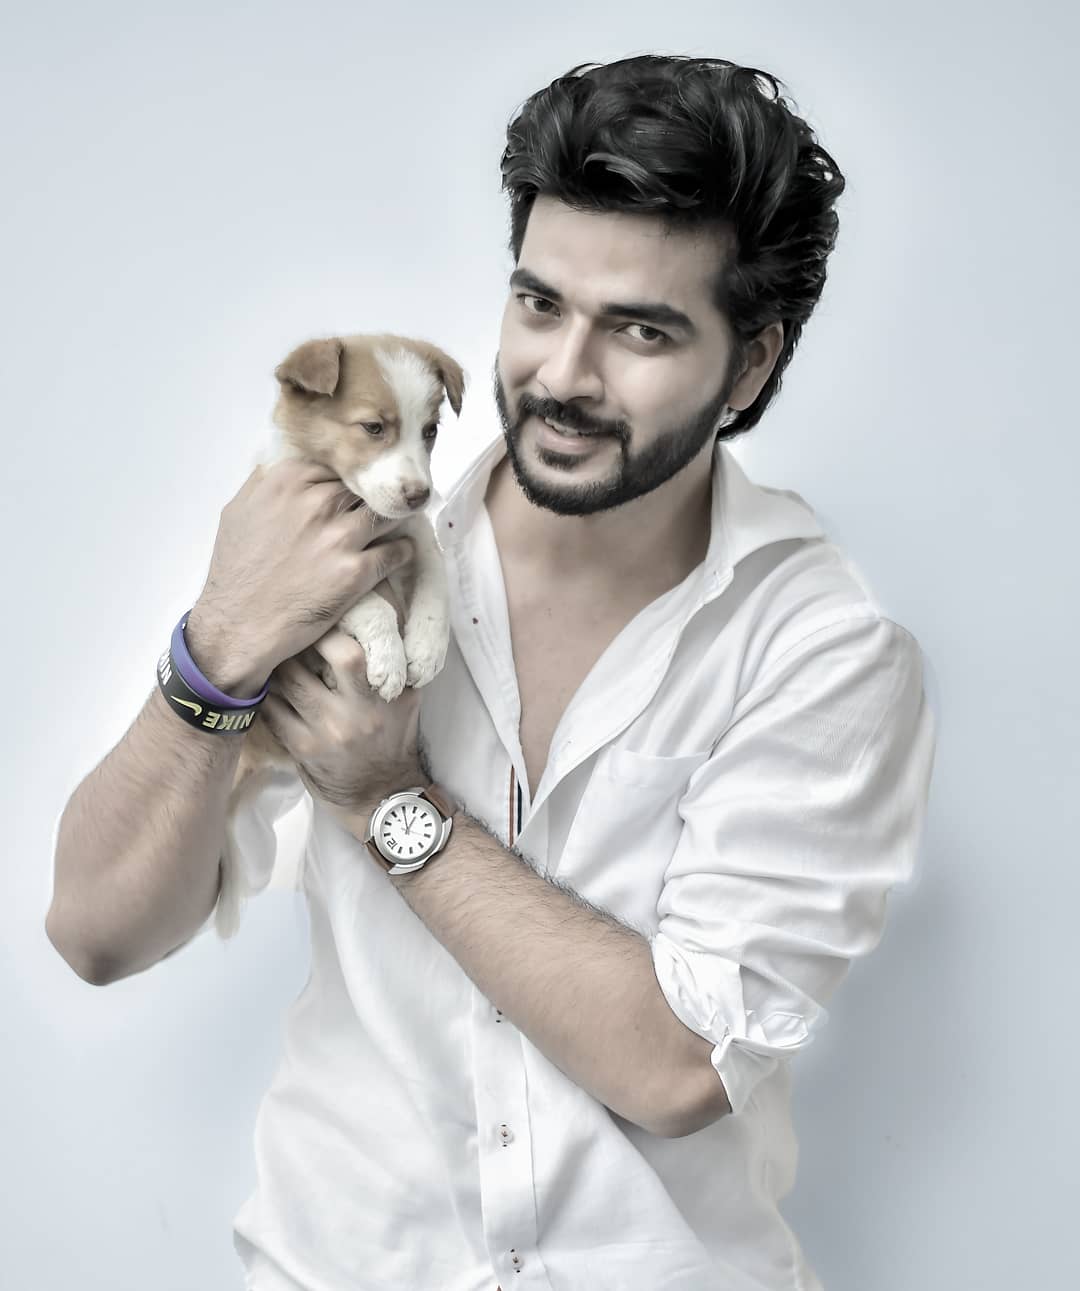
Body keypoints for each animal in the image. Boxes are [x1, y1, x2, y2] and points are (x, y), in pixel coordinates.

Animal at [214, 332, 466, 940]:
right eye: (373, 427)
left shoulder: (416, 538)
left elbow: (436, 591)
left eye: (430, 431)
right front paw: (390, 662)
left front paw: (425, 652)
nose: (420, 493)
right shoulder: (311, 579)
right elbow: (370, 607)